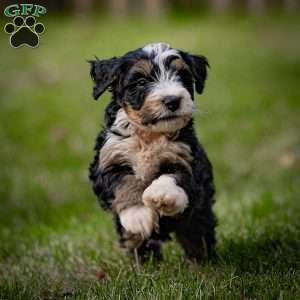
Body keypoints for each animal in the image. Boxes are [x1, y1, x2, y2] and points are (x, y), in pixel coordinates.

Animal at [88, 42, 216, 262]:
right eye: (140, 82)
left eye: (182, 76)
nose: (172, 100)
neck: (148, 135)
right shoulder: (107, 162)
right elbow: (125, 182)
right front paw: (138, 214)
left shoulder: (186, 159)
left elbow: (174, 176)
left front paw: (162, 194)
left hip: (200, 215)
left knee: (198, 236)